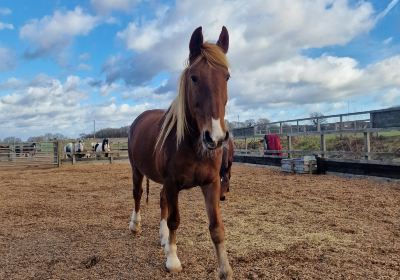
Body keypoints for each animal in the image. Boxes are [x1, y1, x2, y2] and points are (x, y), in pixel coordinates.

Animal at [128, 25, 233, 278]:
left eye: (226, 77)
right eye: (194, 77)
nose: (215, 137)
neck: (192, 145)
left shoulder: (211, 183)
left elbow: (216, 227)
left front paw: (225, 269)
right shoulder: (172, 183)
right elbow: (175, 220)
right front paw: (173, 260)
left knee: (161, 200)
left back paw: (164, 238)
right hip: (137, 170)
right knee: (137, 195)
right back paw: (135, 225)